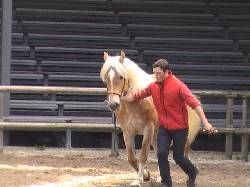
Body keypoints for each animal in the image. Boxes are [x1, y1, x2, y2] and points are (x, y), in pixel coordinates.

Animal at [100, 50, 200, 185]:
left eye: (121, 77)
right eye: (106, 78)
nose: (113, 104)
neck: (135, 103)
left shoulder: (148, 128)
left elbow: (143, 155)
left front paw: (138, 180)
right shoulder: (127, 131)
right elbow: (131, 157)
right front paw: (146, 175)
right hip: (157, 134)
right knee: (160, 152)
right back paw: (160, 177)